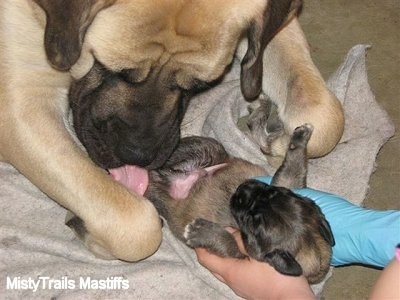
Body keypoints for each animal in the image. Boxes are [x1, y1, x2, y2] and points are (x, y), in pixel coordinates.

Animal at [0, 0, 344, 262]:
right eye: (112, 69)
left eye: (200, 84)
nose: (137, 155)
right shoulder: (19, 106)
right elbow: (136, 226)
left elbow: (327, 118)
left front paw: (279, 139)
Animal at [146, 124, 334, 284]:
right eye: (272, 191)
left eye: (250, 223)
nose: (242, 188)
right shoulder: (286, 182)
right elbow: (293, 167)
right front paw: (300, 137)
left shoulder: (238, 256)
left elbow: (228, 241)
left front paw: (201, 231)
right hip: (206, 149)